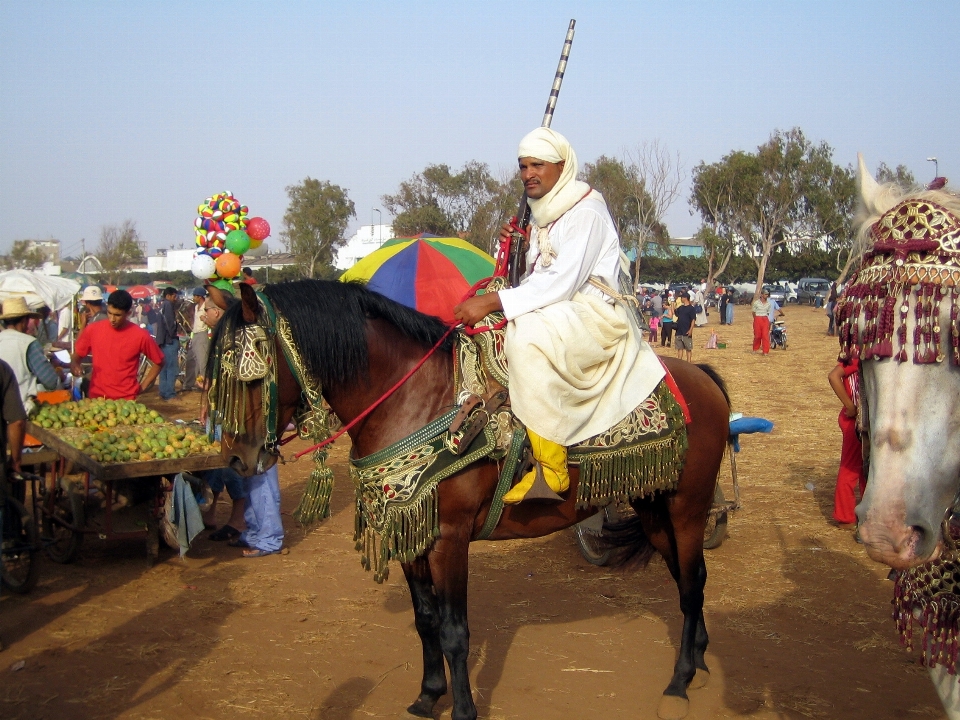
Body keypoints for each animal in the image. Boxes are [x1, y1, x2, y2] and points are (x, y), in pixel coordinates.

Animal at [208, 282, 728, 720]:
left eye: (252, 377)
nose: (236, 459)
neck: (418, 402)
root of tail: (700, 378)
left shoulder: (449, 540)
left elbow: (455, 632)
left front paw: (462, 710)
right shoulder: (413, 536)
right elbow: (425, 621)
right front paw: (427, 695)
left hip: (687, 508)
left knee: (691, 583)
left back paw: (679, 683)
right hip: (654, 507)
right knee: (689, 579)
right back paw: (700, 661)